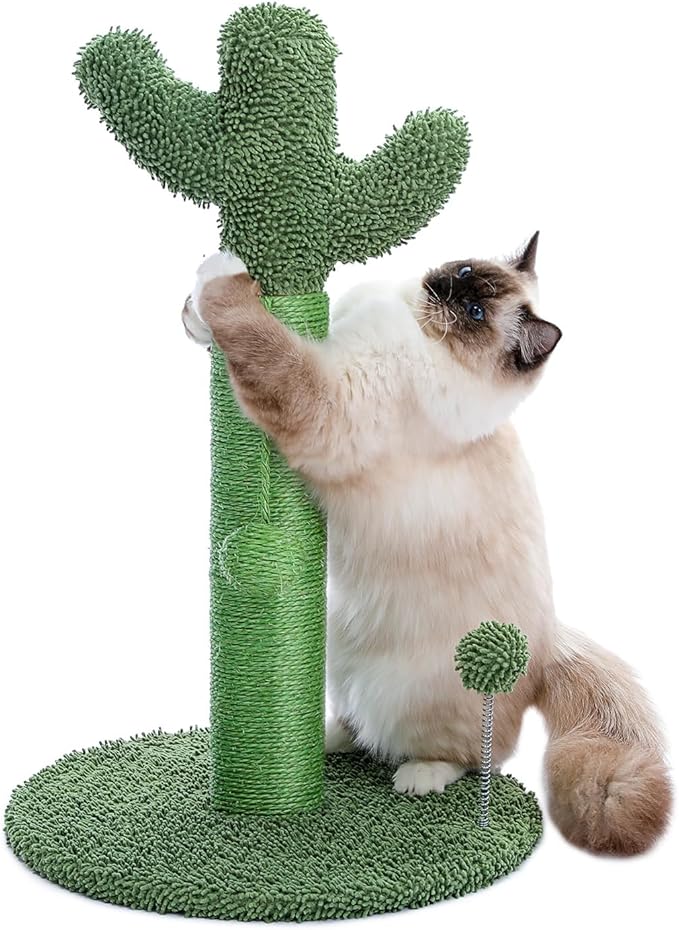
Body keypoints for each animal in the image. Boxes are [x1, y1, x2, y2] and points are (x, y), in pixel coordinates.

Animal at [184, 233, 671, 855]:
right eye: (465, 274)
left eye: (476, 313)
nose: (446, 288)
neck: (411, 324)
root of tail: (543, 650)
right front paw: (198, 305)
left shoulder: (324, 402)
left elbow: (260, 337)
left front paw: (222, 281)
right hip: (339, 654)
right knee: (362, 720)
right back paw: (330, 739)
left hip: (417, 690)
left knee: (476, 753)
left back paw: (418, 775)